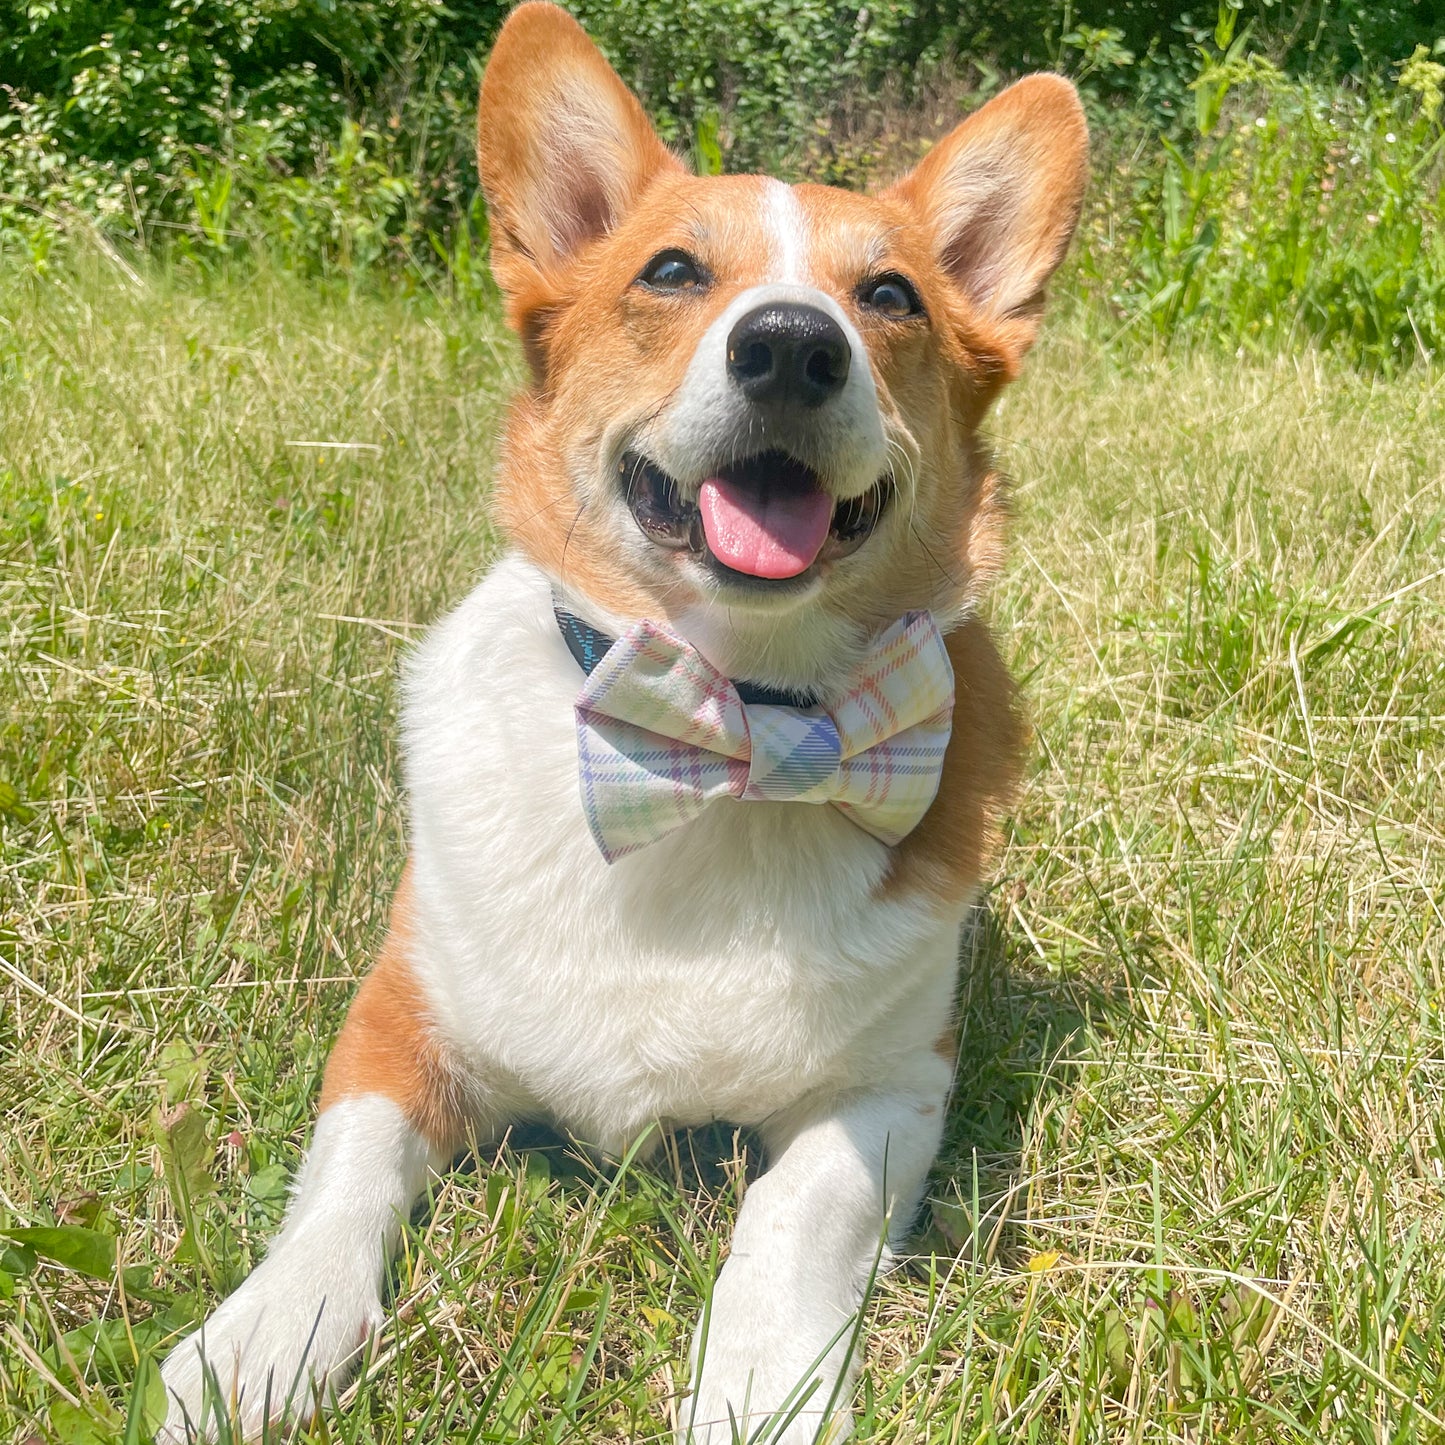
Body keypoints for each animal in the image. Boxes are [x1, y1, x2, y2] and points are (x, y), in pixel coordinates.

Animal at [155, 5, 1086, 1439]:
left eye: (890, 299)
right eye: (670, 271)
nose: (790, 345)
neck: (729, 728)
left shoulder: (892, 1084)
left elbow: (789, 1216)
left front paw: (757, 1382)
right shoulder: (397, 1016)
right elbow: (342, 1176)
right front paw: (266, 1330)